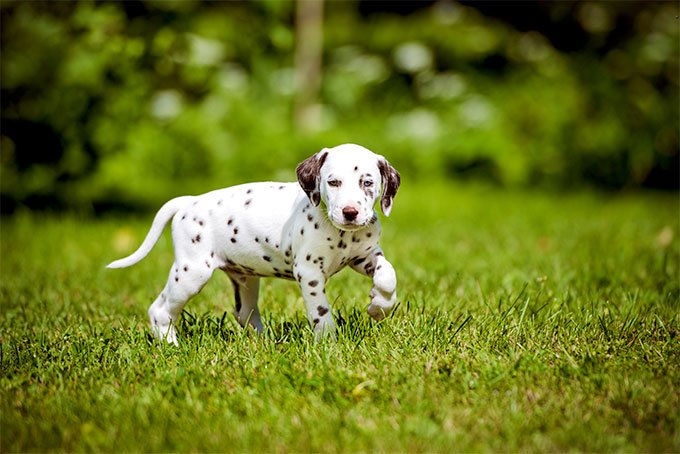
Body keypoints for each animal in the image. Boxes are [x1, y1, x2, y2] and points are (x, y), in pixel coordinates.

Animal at [109, 144, 402, 342]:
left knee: (244, 313)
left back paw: (264, 342)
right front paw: (328, 341)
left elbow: (388, 275)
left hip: (245, 278)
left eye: (367, 182)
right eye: (333, 182)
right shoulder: (309, 273)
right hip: (191, 273)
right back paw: (170, 345)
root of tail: (189, 201)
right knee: (160, 309)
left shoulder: (365, 256)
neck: (342, 234)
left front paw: (379, 306)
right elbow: (320, 310)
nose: (350, 212)